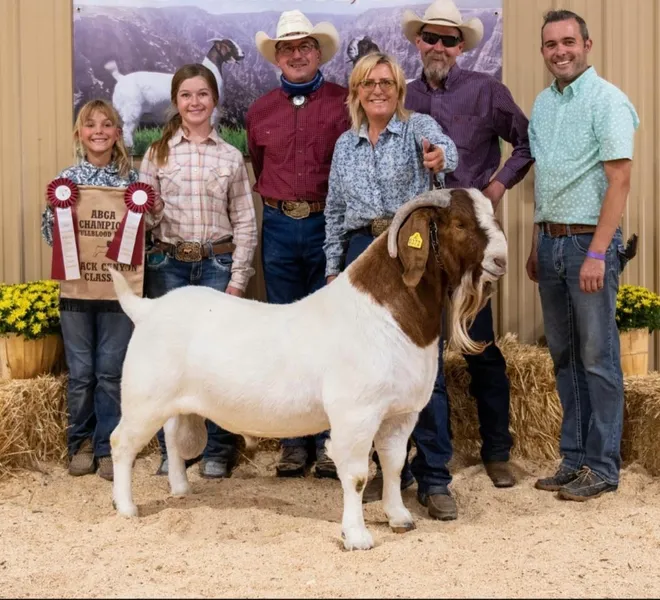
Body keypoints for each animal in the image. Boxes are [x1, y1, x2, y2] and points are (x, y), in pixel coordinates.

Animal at [105, 38, 244, 148]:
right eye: (230, 45)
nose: (243, 54)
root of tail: (120, 78)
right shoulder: (213, 110)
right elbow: (212, 127)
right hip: (131, 110)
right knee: (127, 130)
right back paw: (131, 147)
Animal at [109, 188, 507, 551]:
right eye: (459, 224)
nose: (501, 259)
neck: (386, 314)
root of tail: (146, 309)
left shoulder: (401, 414)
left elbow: (393, 465)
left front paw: (400, 518)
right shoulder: (356, 415)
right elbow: (357, 475)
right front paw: (357, 537)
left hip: (175, 402)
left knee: (173, 437)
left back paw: (181, 489)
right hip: (142, 400)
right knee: (121, 442)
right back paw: (126, 507)